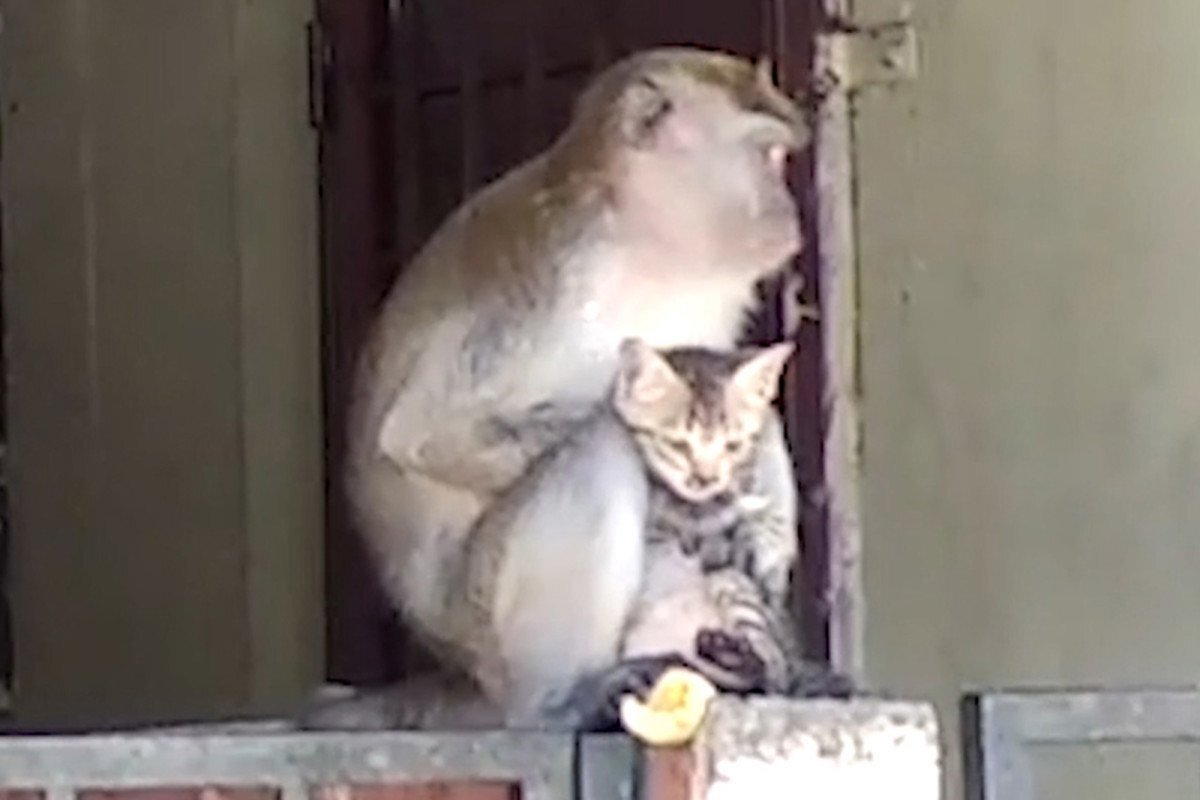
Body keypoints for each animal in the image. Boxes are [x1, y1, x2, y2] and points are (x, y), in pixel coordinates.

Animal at [343, 46, 811, 729]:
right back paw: (563, 699)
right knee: (596, 450)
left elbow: (738, 398)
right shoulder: (549, 282)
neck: (647, 247)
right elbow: (425, 436)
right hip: (487, 625)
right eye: (767, 155)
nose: (790, 212)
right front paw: (711, 506)